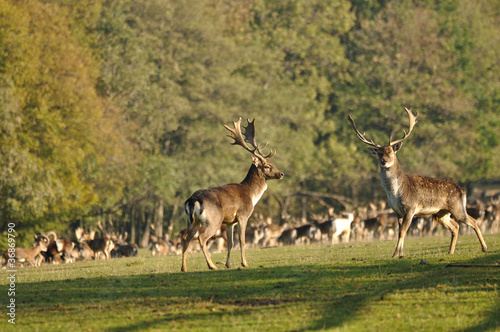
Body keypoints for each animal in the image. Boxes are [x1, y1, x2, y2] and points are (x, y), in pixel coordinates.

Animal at [181, 118, 284, 272]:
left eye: (272, 163)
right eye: (266, 166)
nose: (281, 174)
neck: (251, 195)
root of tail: (193, 199)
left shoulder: (230, 222)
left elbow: (230, 243)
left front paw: (228, 264)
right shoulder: (243, 215)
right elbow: (241, 240)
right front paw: (245, 263)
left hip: (192, 221)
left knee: (186, 238)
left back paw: (184, 268)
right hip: (214, 219)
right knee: (202, 238)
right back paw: (211, 265)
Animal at [350, 107, 486, 258]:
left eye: (391, 152)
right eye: (379, 153)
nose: (383, 161)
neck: (395, 192)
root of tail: (462, 190)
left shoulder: (411, 207)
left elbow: (403, 231)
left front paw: (395, 254)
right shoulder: (397, 211)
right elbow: (400, 232)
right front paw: (400, 254)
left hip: (457, 208)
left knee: (472, 221)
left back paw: (484, 248)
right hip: (441, 213)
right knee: (455, 226)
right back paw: (450, 251)